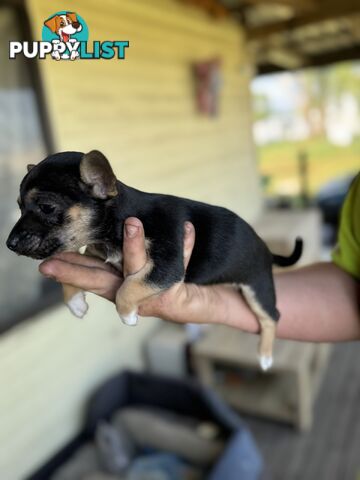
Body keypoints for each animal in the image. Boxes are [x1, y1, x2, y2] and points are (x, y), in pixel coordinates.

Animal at [7, 152, 302, 370]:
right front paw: (74, 301)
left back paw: (265, 355)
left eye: (46, 208)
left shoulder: (167, 265)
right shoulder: (95, 253)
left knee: (271, 316)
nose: (9, 244)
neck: (116, 225)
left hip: (257, 287)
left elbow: (129, 286)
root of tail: (266, 250)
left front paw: (127, 314)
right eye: (19, 207)